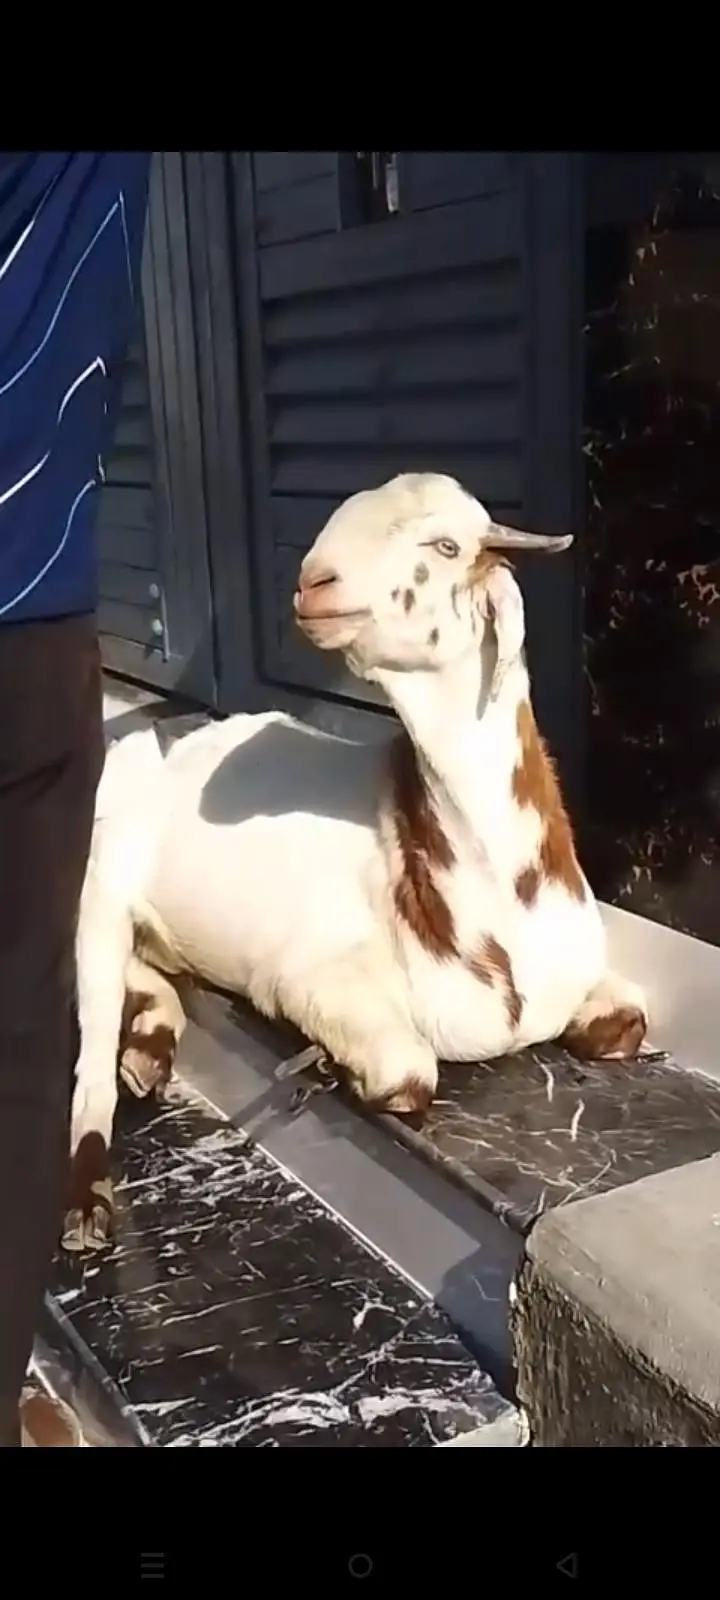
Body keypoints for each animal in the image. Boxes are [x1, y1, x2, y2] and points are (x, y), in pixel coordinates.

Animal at [64, 473, 647, 1251]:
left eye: (447, 545)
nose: (314, 583)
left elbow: (627, 1023)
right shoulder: (307, 978)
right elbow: (408, 1073)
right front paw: (340, 1071)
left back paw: (151, 1045)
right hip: (99, 875)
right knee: (91, 1045)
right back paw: (87, 1201)